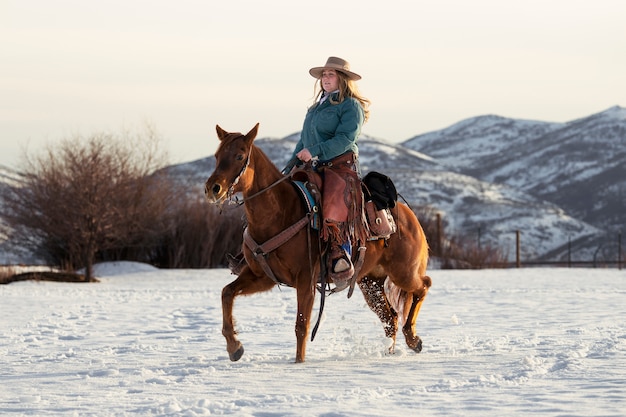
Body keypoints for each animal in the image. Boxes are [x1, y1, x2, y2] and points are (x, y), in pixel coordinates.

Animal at [204, 122, 428, 360]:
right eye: (217, 155)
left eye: (239, 156)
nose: (212, 188)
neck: (281, 213)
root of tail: (409, 216)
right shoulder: (263, 277)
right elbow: (227, 293)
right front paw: (234, 346)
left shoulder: (306, 280)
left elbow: (301, 326)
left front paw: (299, 363)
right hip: (370, 282)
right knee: (391, 318)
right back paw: (391, 350)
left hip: (403, 272)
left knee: (423, 286)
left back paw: (413, 338)